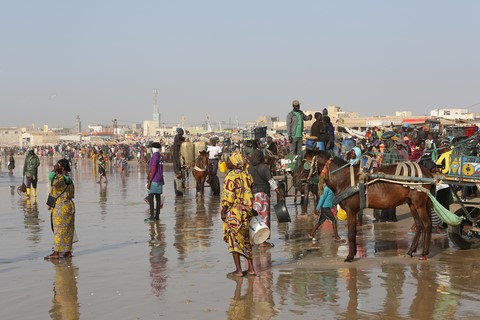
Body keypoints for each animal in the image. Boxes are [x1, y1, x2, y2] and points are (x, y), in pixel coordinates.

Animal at [304, 150, 436, 262]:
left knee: (427, 224)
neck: (345, 179)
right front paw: (354, 253)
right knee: (419, 225)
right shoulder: (354, 211)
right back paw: (411, 251)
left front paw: (350, 256)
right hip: (412, 203)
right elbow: (354, 232)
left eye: (305, 163)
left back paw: (424, 253)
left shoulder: (351, 211)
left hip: (419, 204)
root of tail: (428, 173)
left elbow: (351, 234)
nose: (300, 180)